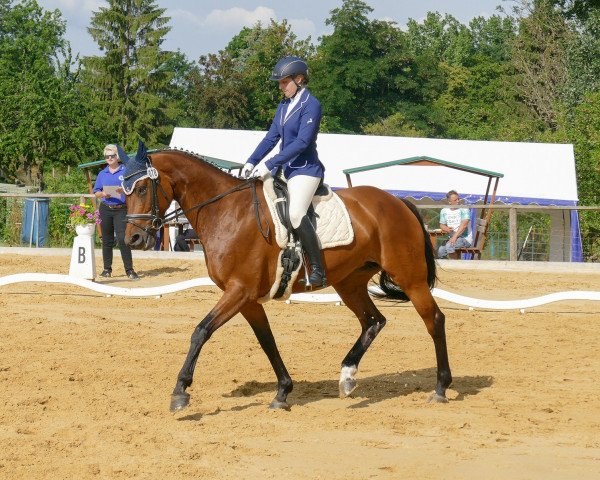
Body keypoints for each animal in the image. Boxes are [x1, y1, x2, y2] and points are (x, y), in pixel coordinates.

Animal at [120, 147, 450, 412]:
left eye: (141, 189)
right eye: (124, 191)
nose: (133, 239)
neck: (225, 211)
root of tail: (398, 201)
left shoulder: (239, 291)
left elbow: (200, 331)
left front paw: (180, 391)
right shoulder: (247, 298)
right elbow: (267, 340)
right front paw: (282, 392)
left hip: (410, 278)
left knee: (433, 319)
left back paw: (441, 387)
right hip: (350, 283)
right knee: (373, 321)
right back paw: (347, 376)